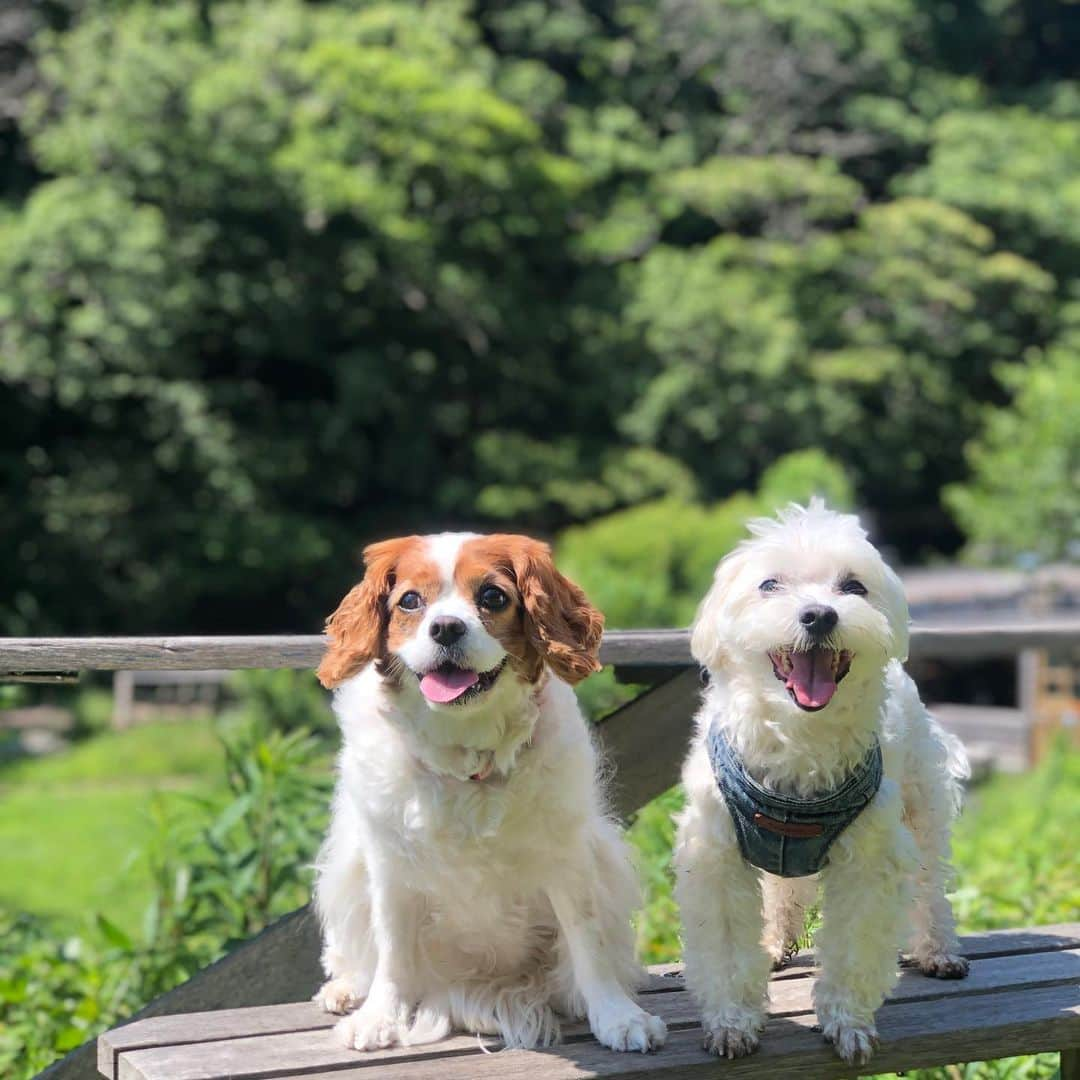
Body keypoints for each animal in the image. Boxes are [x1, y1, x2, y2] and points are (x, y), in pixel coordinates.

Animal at [313, 531, 665, 1054]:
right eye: (410, 601)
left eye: (493, 597)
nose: (445, 628)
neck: (467, 751)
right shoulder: (390, 866)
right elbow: (392, 951)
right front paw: (379, 1017)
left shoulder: (568, 856)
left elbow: (588, 939)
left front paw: (616, 1015)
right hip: (348, 864)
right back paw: (347, 988)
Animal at [673, 501, 972, 1067]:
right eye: (769, 584)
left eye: (853, 586)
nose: (819, 615)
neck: (800, 742)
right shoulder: (716, 853)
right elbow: (725, 944)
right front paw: (732, 1023)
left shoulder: (870, 859)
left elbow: (854, 942)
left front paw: (847, 1023)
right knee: (783, 891)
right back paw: (773, 944)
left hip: (921, 805)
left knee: (929, 882)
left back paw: (939, 950)